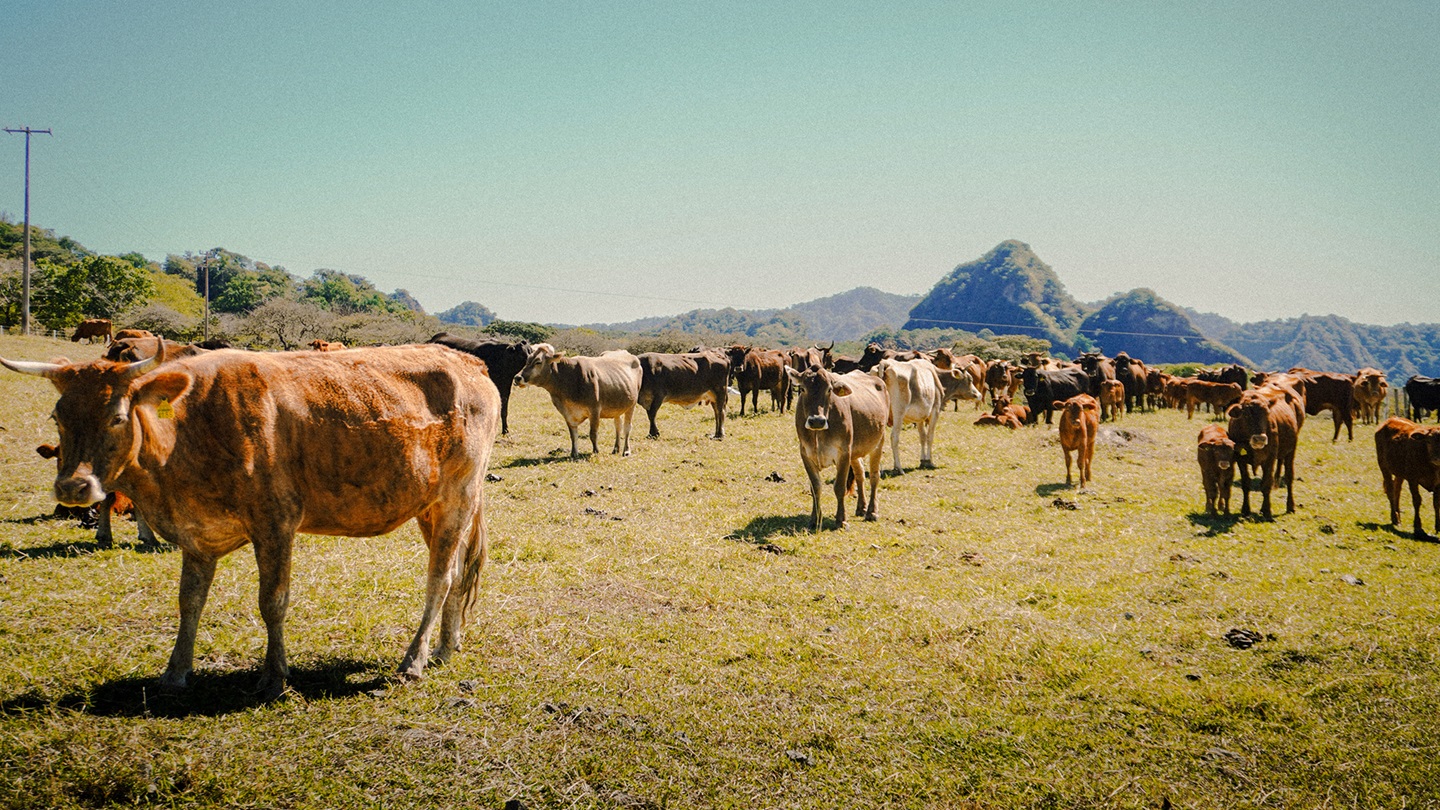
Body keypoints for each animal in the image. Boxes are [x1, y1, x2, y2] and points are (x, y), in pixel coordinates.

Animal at [1, 343, 502, 699]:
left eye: (118, 417)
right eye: (57, 415)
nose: (73, 487)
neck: (189, 430)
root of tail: (468, 361)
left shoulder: (275, 522)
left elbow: (272, 602)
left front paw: (275, 677)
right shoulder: (197, 537)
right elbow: (189, 601)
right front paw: (175, 671)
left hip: (458, 496)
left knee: (439, 578)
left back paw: (413, 660)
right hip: (431, 506)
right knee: (458, 572)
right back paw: (445, 646)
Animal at [786, 366, 888, 531]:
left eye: (829, 390)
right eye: (802, 389)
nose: (817, 421)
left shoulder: (843, 453)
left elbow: (839, 487)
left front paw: (841, 520)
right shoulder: (806, 454)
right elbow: (815, 487)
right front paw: (814, 520)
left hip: (878, 442)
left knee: (874, 476)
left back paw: (872, 512)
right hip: (855, 452)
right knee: (860, 474)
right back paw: (861, 507)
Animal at [1226, 384, 1302, 519]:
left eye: (1267, 413)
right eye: (1246, 415)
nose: (1260, 438)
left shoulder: (1270, 458)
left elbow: (1266, 484)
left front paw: (1267, 511)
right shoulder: (1240, 459)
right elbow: (1246, 483)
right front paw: (1245, 509)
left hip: (1291, 451)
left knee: (1289, 477)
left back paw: (1290, 506)